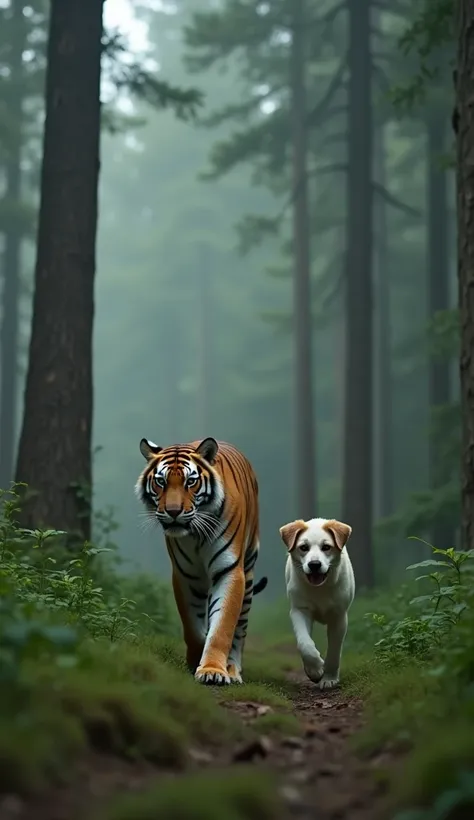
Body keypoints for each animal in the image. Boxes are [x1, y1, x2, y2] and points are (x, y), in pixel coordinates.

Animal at [135, 436, 266, 684]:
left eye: (191, 482)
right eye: (161, 482)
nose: (173, 512)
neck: (196, 534)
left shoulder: (229, 571)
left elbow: (222, 627)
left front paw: (213, 670)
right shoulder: (186, 575)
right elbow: (193, 626)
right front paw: (195, 660)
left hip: (249, 572)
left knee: (240, 629)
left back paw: (232, 669)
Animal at [280, 520, 354, 692]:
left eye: (326, 547)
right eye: (303, 547)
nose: (314, 564)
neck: (319, 589)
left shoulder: (339, 616)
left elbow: (334, 650)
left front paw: (329, 679)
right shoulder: (300, 610)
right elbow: (305, 643)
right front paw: (315, 670)